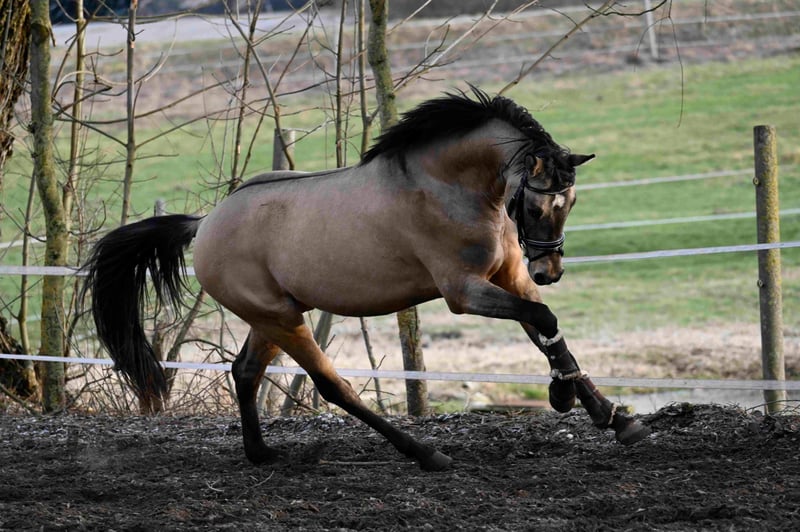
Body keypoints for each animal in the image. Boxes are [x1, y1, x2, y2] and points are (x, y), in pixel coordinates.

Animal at [83, 87, 649, 471]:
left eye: (570, 202)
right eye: (535, 204)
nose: (549, 271)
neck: (451, 187)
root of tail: (205, 224)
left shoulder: (509, 276)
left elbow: (546, 328)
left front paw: (613, 417)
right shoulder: (464, 292)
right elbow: (542, 319)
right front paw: (564, 398)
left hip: (273, 316)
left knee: (244, 372)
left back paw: (261, 453)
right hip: (282, 319)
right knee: (331, 386)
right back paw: (425, 454)